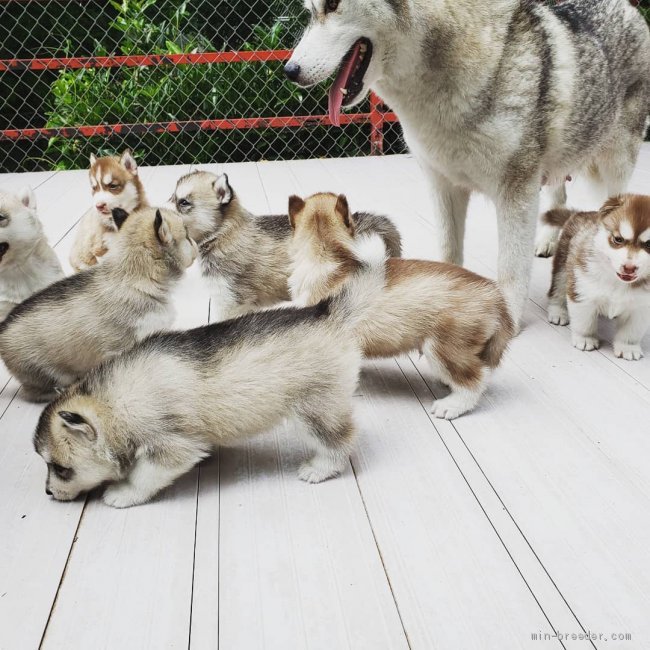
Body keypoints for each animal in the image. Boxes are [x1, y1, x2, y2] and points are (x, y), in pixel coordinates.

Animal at [0, 208, 195, 400]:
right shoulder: (123, 346)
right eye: (186, 234)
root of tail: (3, 327)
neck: (134, 278)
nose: (195, 241)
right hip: (46, 373)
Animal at [33, 238, 388, 506]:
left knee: (339, 439)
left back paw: (321, 468)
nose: (48, 492)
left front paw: (123, 493)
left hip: (315, 410)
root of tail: (329, 313)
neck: (114, 403)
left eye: (61, 469)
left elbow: (144, 475)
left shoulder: (171, 447)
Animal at [286, 0, 648, 324]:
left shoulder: (516, 192)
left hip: (612, 166)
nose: (289, 71)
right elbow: (449, 251)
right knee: (559, 197)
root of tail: (630, 9)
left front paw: (507, 321)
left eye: (333, 5)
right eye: (310, 12)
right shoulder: (443, 186)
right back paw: (548, 241)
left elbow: (510, 269)